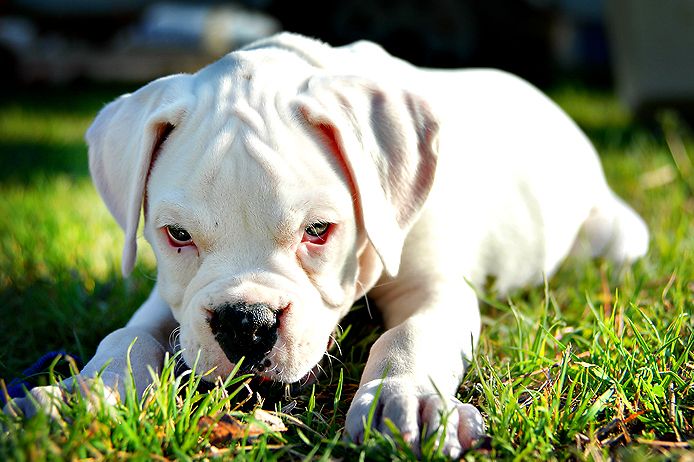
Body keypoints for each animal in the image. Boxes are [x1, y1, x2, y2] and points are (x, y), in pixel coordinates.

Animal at [8, 33, 648, 458]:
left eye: (319, 231)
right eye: (178, 236)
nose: (246, 324)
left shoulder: (436, 288)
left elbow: (409, 333)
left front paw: (403, 399)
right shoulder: (171, 301)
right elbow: (126, 338)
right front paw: (81, 394)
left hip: (616, 237)